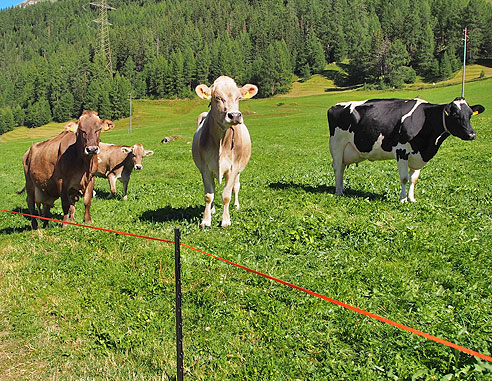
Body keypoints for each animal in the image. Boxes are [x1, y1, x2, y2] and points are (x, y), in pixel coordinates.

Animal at [191, 75, 258, 227]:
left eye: (239, 97)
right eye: (217, 97)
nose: (234, 115)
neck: (222, 141)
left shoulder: (234, 168)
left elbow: (227, 195)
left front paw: (226, 220)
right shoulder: (205, 168)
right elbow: (209, 195)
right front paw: (206, 219)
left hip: (239, 170)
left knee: (236, 186)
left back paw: (236, 205)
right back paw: (212, 209)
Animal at [326, 96, 484, 200]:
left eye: (470, 115)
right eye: (456, 115)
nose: (472, 134)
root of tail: (335, 106)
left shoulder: (418, 155)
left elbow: (413, 178)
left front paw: (411, 198)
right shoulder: (402, 151)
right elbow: (404, 178)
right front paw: (402, 199)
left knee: (341, 168)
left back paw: (342, 188)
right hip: (337, 145)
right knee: (338, 168)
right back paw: (339, 191)